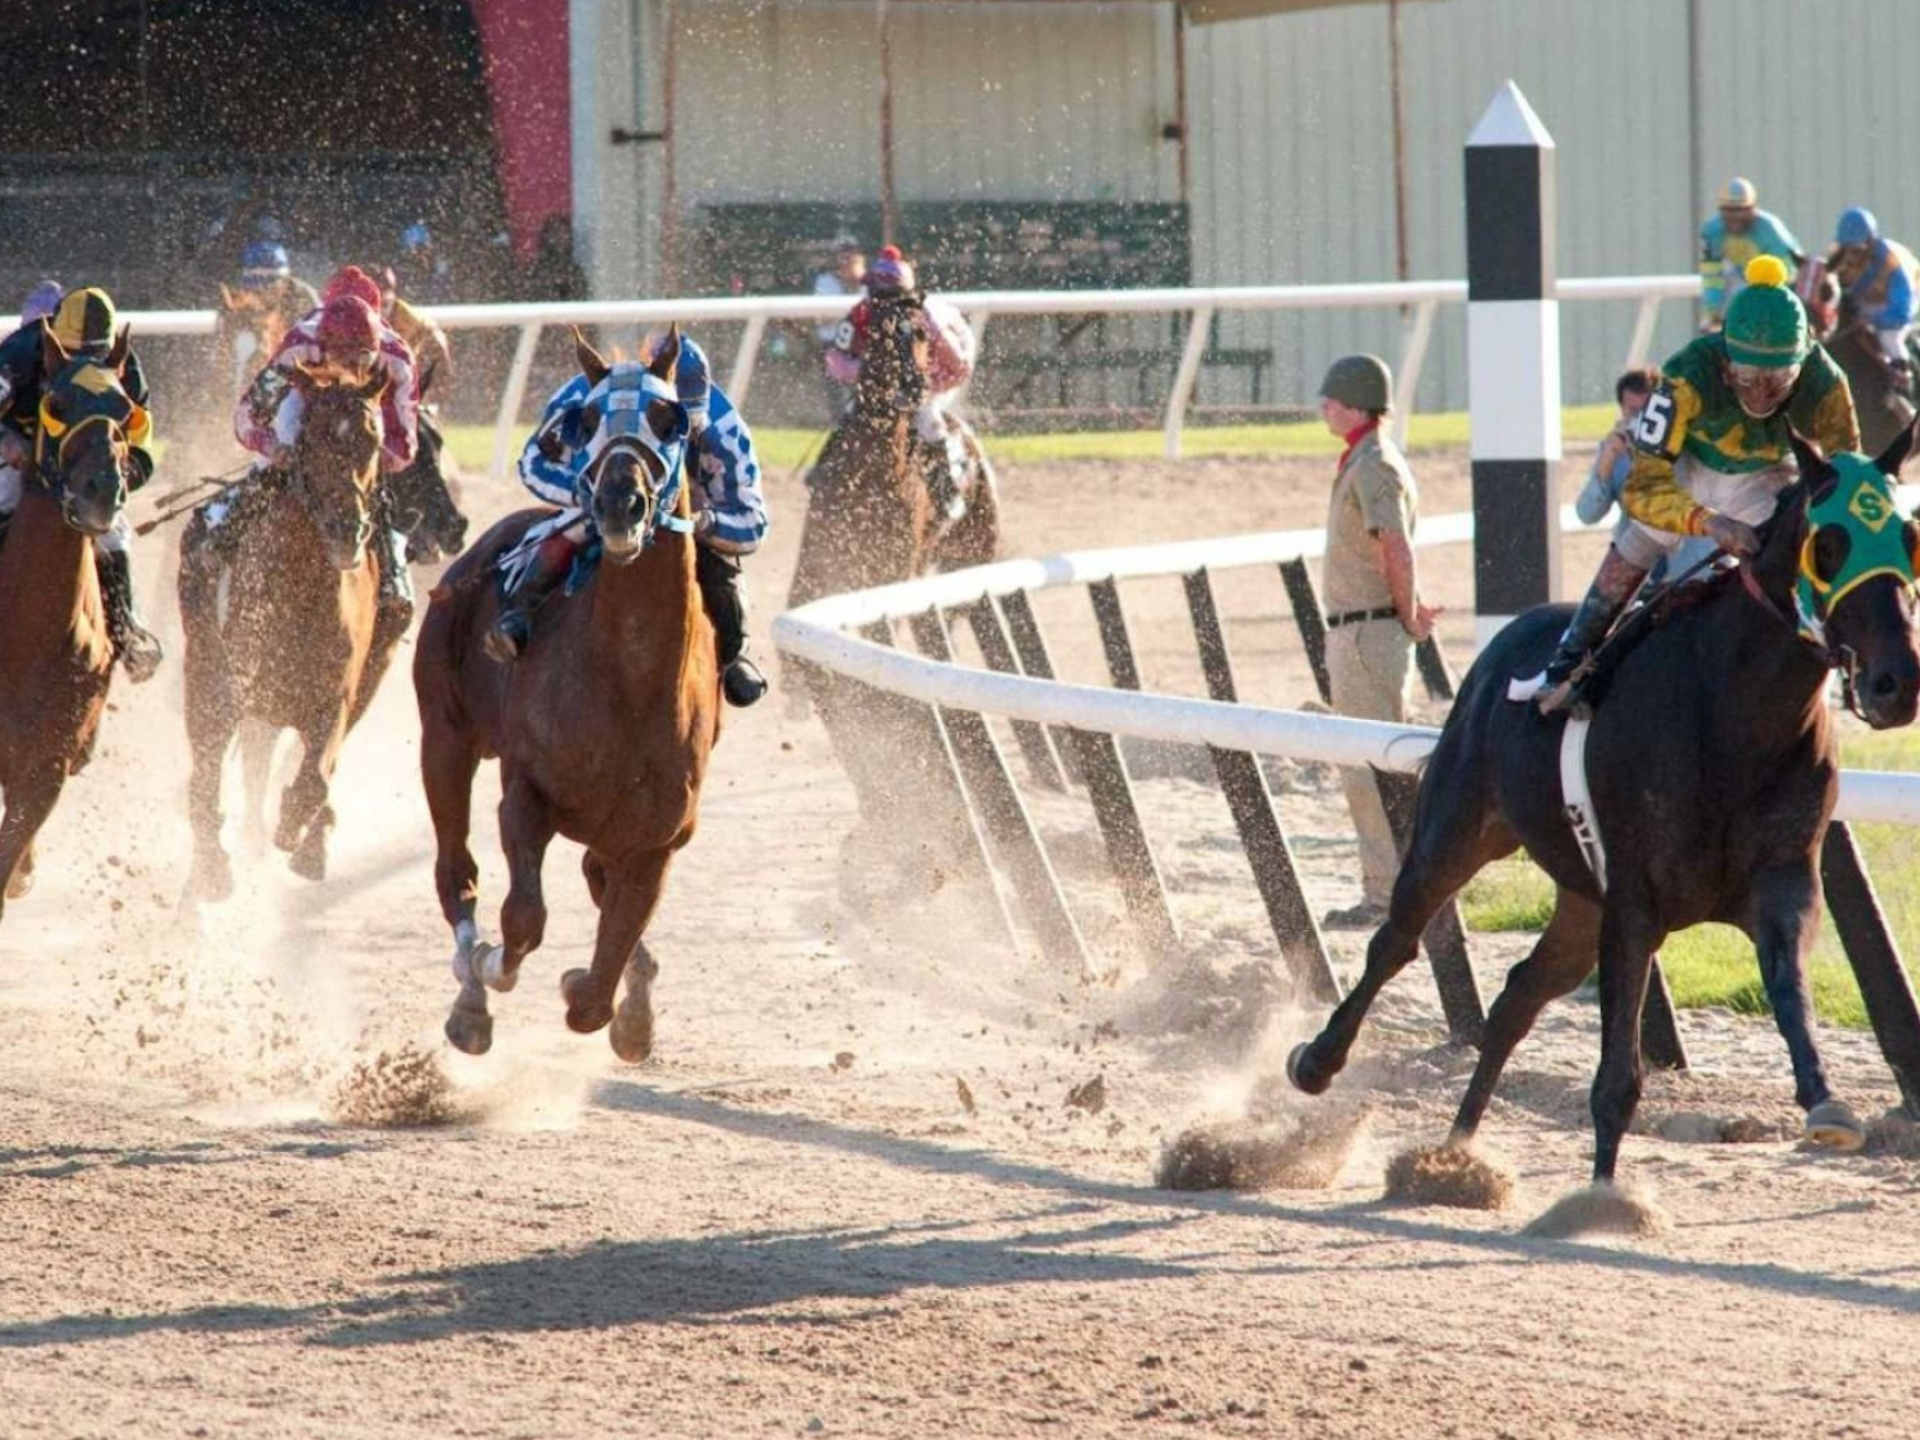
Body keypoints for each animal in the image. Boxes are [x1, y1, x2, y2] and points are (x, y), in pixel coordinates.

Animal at [178, 368, 391, 902]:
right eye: (312, 438)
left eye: (373, 440)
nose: (346, 528)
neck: (303, 587)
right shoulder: (230, 683)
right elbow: (209, 773)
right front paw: (214, 868)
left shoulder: (335, 694)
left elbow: (315, 776)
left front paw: (298, 830)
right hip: (205, 667)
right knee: (210, 768)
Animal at [414, 332, 721, 1067]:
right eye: (585, 421)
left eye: (670, 420)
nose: (618, 505)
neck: (630, 678)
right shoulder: (526, 793)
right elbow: (522, 919)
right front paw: (487, 972)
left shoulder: (656, 840)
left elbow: (598, 986)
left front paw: (618, 1004)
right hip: (443, 734)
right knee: (456, 872)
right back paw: (471, 993)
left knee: (590, 879)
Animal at [1290, 428, 1920, 1198]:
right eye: (1830, 542)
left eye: (1910, 535)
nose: (1896, 683)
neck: (1732, 714)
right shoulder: (1635, 902)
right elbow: (1617, 1080)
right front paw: (1601, 1199)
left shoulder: (1781, 879)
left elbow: (1789, 987)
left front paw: (1826, 1102)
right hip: (1457, 829)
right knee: (1397, 940)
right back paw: (1318, 1064)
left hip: (1580, 899)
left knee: (1520, 993)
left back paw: (1455, 1152)